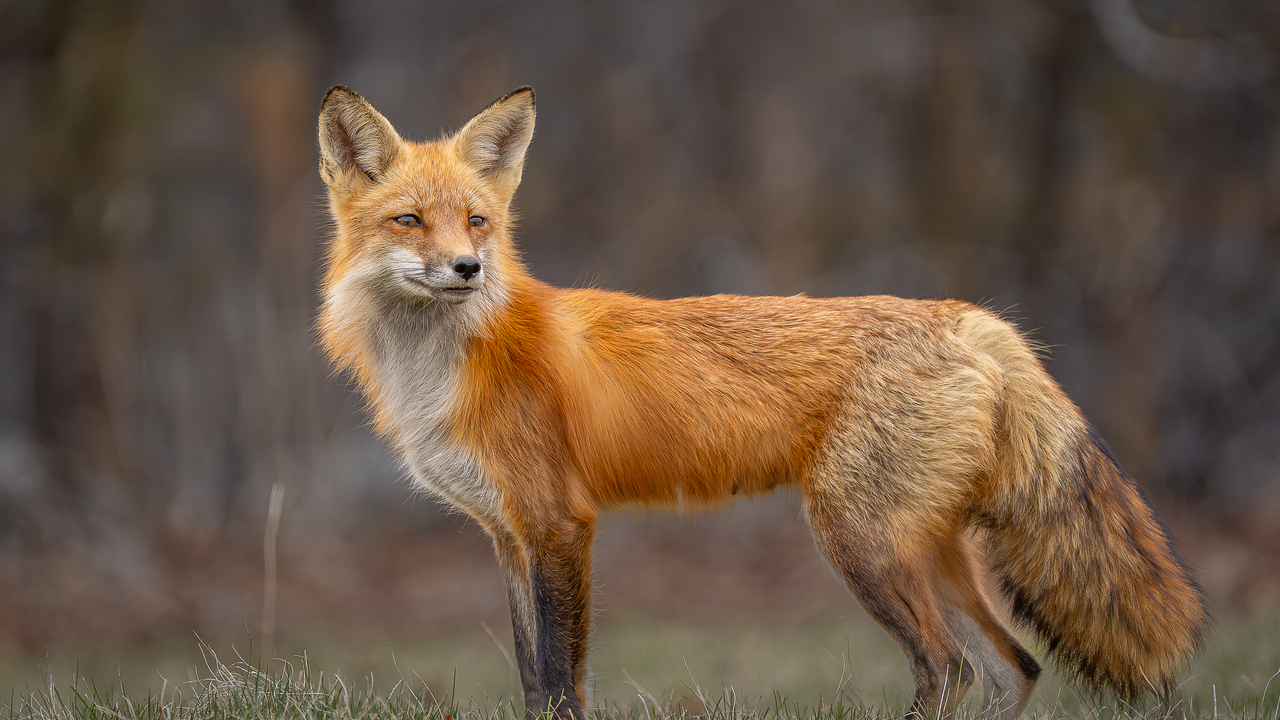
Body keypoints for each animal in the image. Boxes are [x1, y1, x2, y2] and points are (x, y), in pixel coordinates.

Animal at [315, 85, 1207, 719]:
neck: (448, 362)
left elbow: (563, 685)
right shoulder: (509, 535)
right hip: (926, 552)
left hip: (859, 542)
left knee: (948, 669)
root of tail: (965, 316)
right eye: (409, 220)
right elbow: (535, 681)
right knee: (1013, 669)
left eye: (477, 221)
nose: (467, 269)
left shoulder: (560, 526)